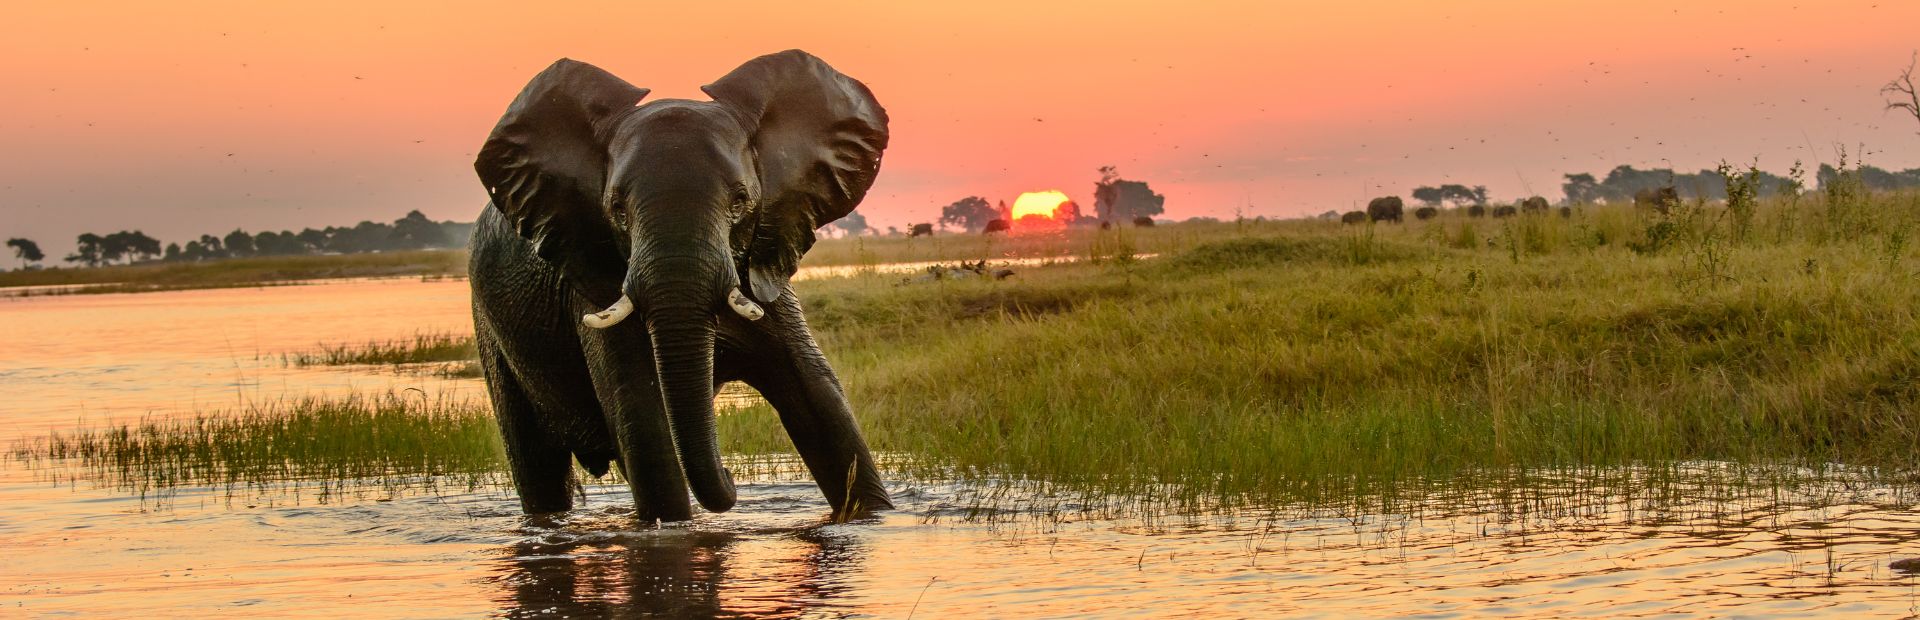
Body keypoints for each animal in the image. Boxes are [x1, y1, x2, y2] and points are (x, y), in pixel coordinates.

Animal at [467, 50, 892, 522]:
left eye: (740, 201)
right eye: (617, 210)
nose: (731, 476)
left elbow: (819, 398)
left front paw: (873, 518)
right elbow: (643, 421)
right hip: (490, 329)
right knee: (537, 464)